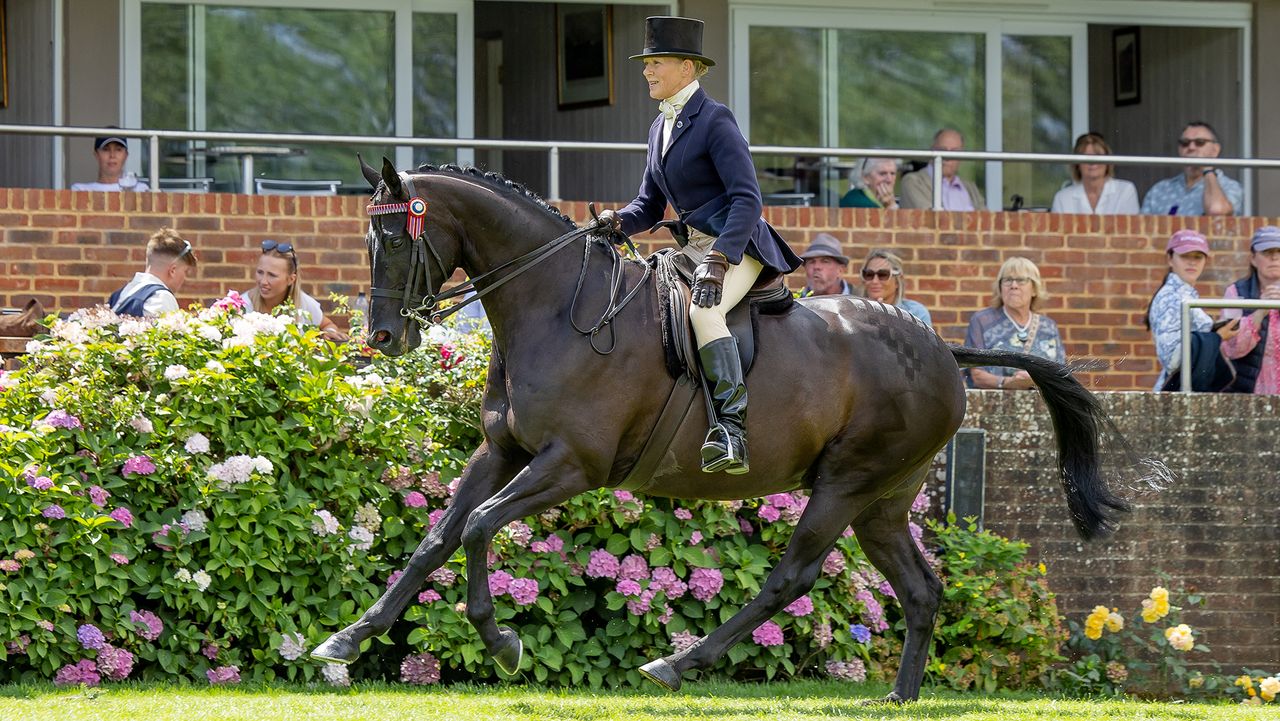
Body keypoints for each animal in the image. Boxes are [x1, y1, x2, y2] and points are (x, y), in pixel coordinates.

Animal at [311, 158, 1138, 702]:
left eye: (398, 240)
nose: (383, 336)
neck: (551, 307)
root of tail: (941, 349)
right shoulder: (504, 449)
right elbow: (438, 537)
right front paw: (346, 638)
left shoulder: (571, 463)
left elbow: (480, 525)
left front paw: (503, 641)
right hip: (883, 498)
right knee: (921, 588)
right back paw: (899, 695)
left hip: (845, 484)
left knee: (790, 577)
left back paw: (677, 663)